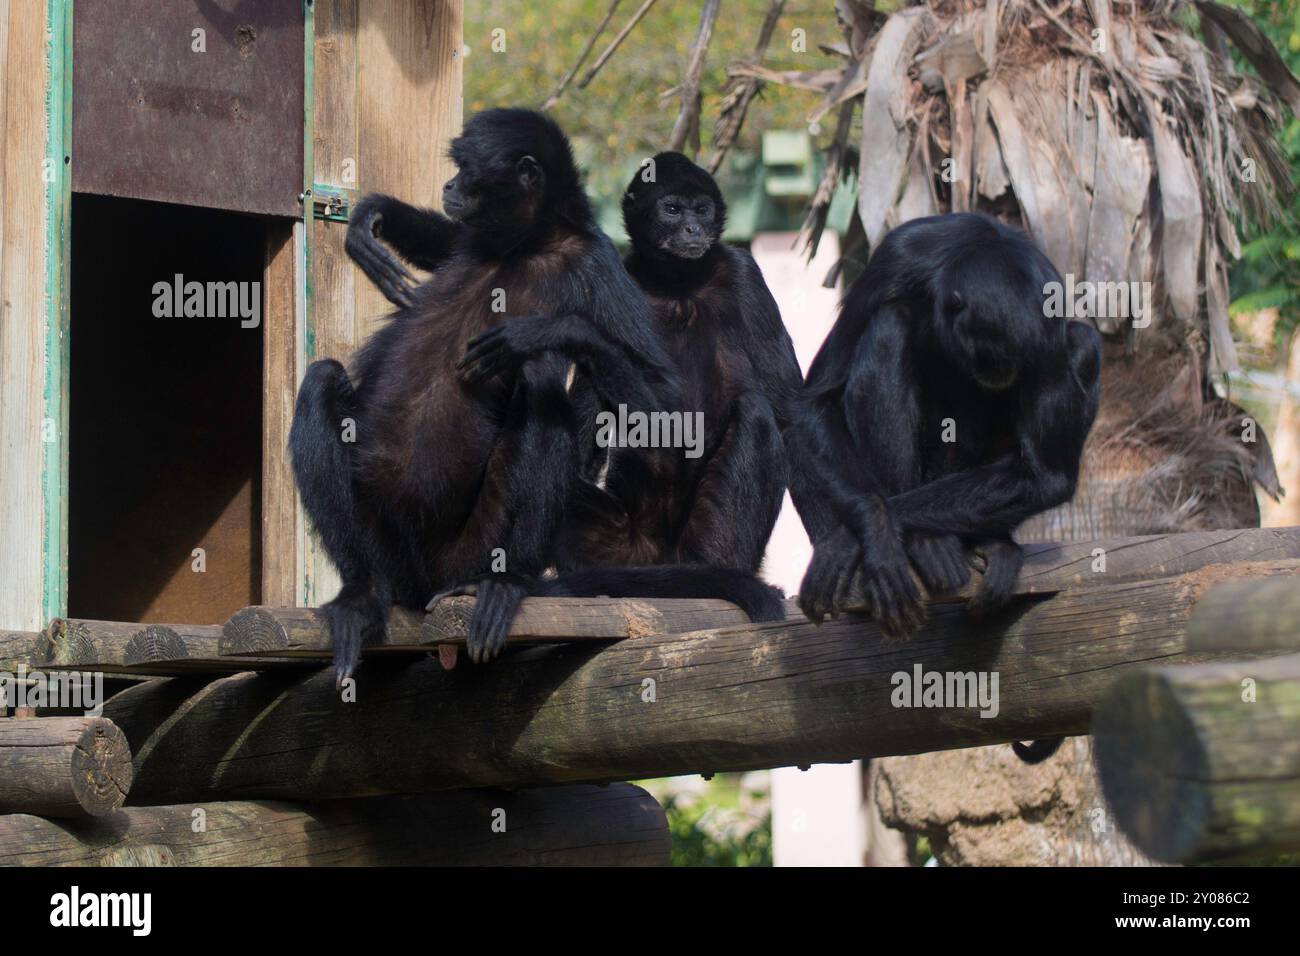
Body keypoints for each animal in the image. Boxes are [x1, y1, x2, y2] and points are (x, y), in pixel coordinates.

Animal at [785, 214, 1102, 642]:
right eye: (986, 351)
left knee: (1083, 342)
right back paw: (921, 543)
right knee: (890, 323)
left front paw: (846, 540)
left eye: (1016, 357)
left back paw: (984, 543)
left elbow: (1047, 476)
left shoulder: (1046, 323)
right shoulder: (897, 257)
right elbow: (815, 402)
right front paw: (875, 527)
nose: (1001, 372)